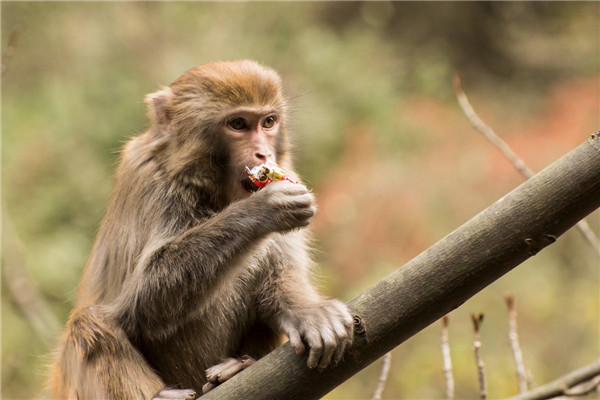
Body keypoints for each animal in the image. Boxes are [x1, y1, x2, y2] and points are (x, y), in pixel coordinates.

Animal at [51, 60, 354, 400]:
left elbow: (279, 273)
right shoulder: (149, 182)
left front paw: (307, 313)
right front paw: (263, 210)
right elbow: (140, 305)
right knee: (88, 322)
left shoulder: (289, 172)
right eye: (238, 124)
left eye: (268, 122)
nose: (264, 154)